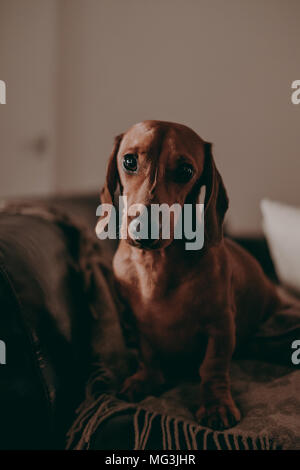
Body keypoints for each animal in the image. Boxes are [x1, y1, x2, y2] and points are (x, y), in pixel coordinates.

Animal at [99, 120, 280, 430]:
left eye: (185, 171)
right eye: (129, 161)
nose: (143, 230)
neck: (155, 266)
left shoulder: (221, 325)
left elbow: (213, 366)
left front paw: (216, 405)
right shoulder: (138, 324)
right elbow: (147, 354)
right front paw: (145, 379)